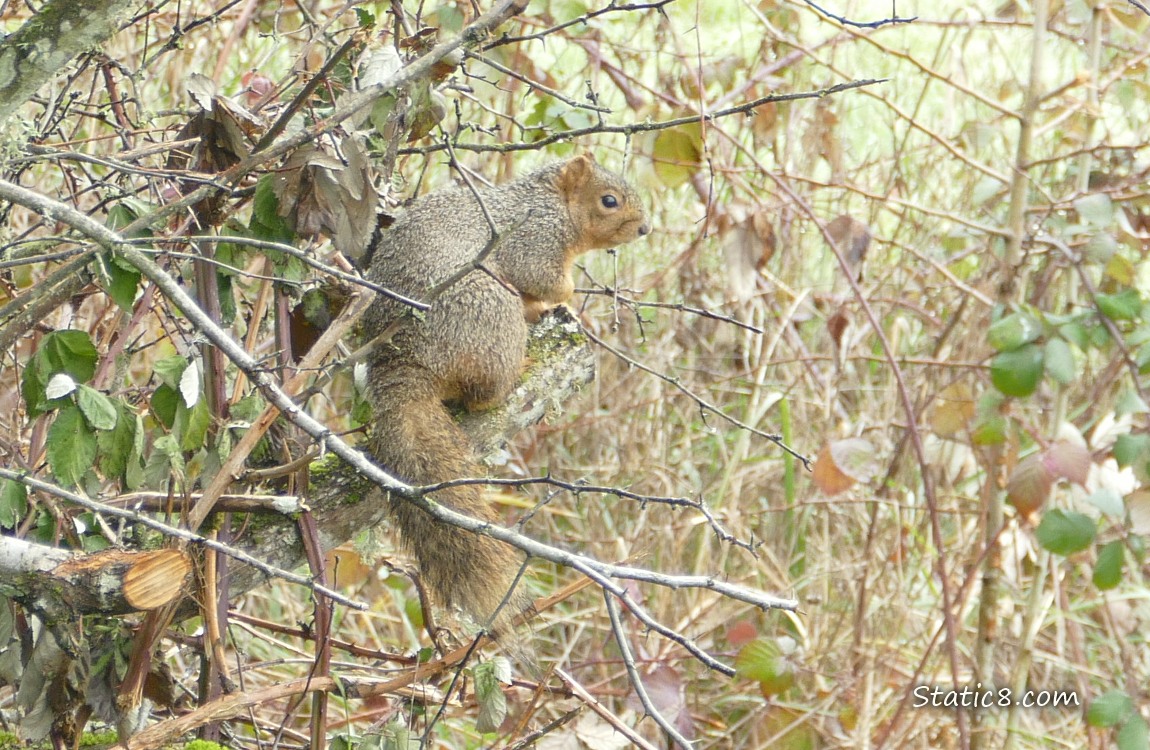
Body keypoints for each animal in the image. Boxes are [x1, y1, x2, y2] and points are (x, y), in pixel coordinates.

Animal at [362, 153, 649, 638]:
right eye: (609, 201)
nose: (645, 228)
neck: (553, 202)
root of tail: (407, 361)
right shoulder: (535, 238)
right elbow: (545, 278)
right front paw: (564, 297)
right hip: (492, 313)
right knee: (484, 394)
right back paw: (521, 367)